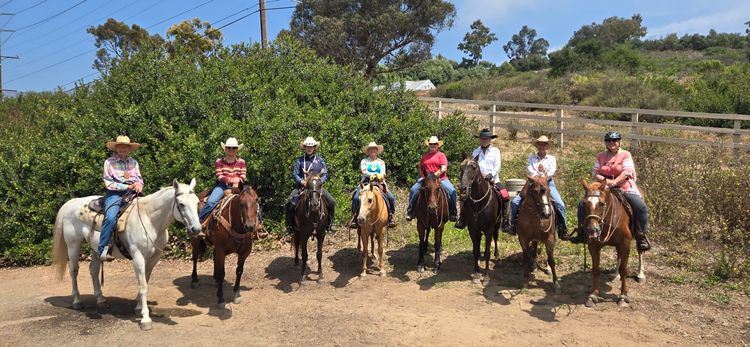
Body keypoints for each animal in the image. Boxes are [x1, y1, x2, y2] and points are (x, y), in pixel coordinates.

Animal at [52, 179, 203, 332]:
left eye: (197, 202)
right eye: (181, 204)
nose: (197, 229)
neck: (150, 220)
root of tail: (72, 202)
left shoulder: (153, 259)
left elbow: (145, 281)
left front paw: (138, 307)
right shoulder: (138, 257)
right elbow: (143, 286)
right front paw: (145, 319)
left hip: (95, 248)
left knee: (93, 270)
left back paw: (100, 299)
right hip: (73, 245)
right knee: (74, 270)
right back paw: (77, 301)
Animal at [458, 156, 506, 286]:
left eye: (474, 167)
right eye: (461, 167)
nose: (463, 188)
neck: (478, 203)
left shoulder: (488, 230)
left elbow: (487, 252)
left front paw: (486, 277)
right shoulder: (473, 230)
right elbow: (476, 251)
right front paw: (476, 274)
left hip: (496, 225)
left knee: (496, 237)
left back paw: (498, 257)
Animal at [580, 179, 648, 308]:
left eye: (601, 204)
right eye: (585, 203)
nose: (592, 230)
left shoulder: (625, 243)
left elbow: (624, 269)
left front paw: (623, 297)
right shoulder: (594, 246)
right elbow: (596, 269)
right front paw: (593, 296)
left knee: (640, 251)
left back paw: (640, 274)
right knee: (618, 256)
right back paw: (616, 275)